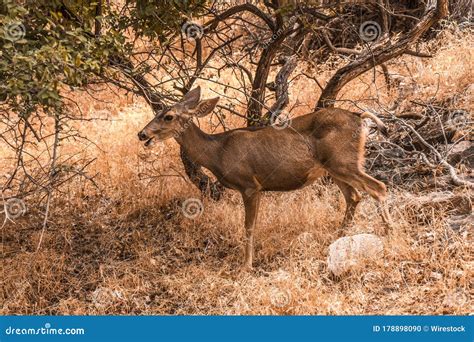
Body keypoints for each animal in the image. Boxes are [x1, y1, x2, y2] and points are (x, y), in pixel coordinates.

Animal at [139, 87, 390, 268]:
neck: (217, 152)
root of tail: (360, 117)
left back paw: (389, 234)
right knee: (354, 196)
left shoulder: (249, 185)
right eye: (157, 112)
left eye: (168, 116)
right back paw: (337, 238)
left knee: (378, 187)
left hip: (343, 162)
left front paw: (246, 266)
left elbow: (248, 226)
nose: (142, 134)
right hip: (333, 167)